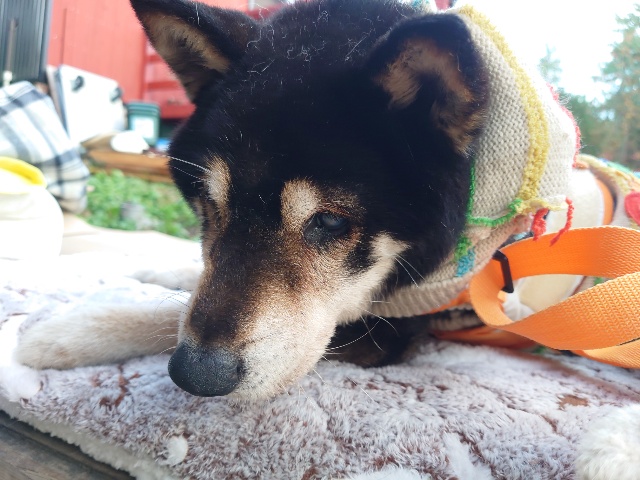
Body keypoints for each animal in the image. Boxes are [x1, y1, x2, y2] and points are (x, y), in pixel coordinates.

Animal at [17, 0, 585, 401]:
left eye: (329, 223)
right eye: (209, 205)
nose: (197, 375)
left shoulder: (391, 329)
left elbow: (167, 321)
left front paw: (66, 333)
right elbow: (188, 285)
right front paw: (153, 270)